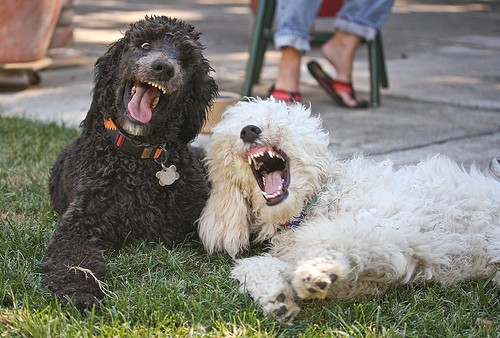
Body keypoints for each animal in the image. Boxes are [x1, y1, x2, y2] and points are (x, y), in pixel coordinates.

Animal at [46, 16, 218, 308]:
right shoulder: (78, 226)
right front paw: (79, 292)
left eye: (185, 60)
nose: (163, 68)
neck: (138, 160)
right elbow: (74, 261)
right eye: (145, 44)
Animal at [199, 98, 500, 322]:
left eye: (279, 116)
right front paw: (278, 296)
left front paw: (315, 269)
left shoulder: (393, 229)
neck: (313, 203)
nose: (249, 130)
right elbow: (261, 265)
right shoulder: (377, 275)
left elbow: (330, 237)